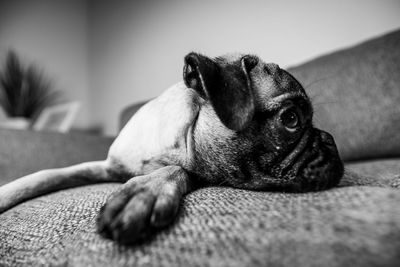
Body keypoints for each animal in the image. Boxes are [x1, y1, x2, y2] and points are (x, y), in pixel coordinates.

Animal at [0, 52, 344, 245]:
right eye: (291, 119)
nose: (331, 140)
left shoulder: (190, 167)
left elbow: (173, 169)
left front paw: (144, 191)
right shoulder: (100, 166)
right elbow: (42, 176)